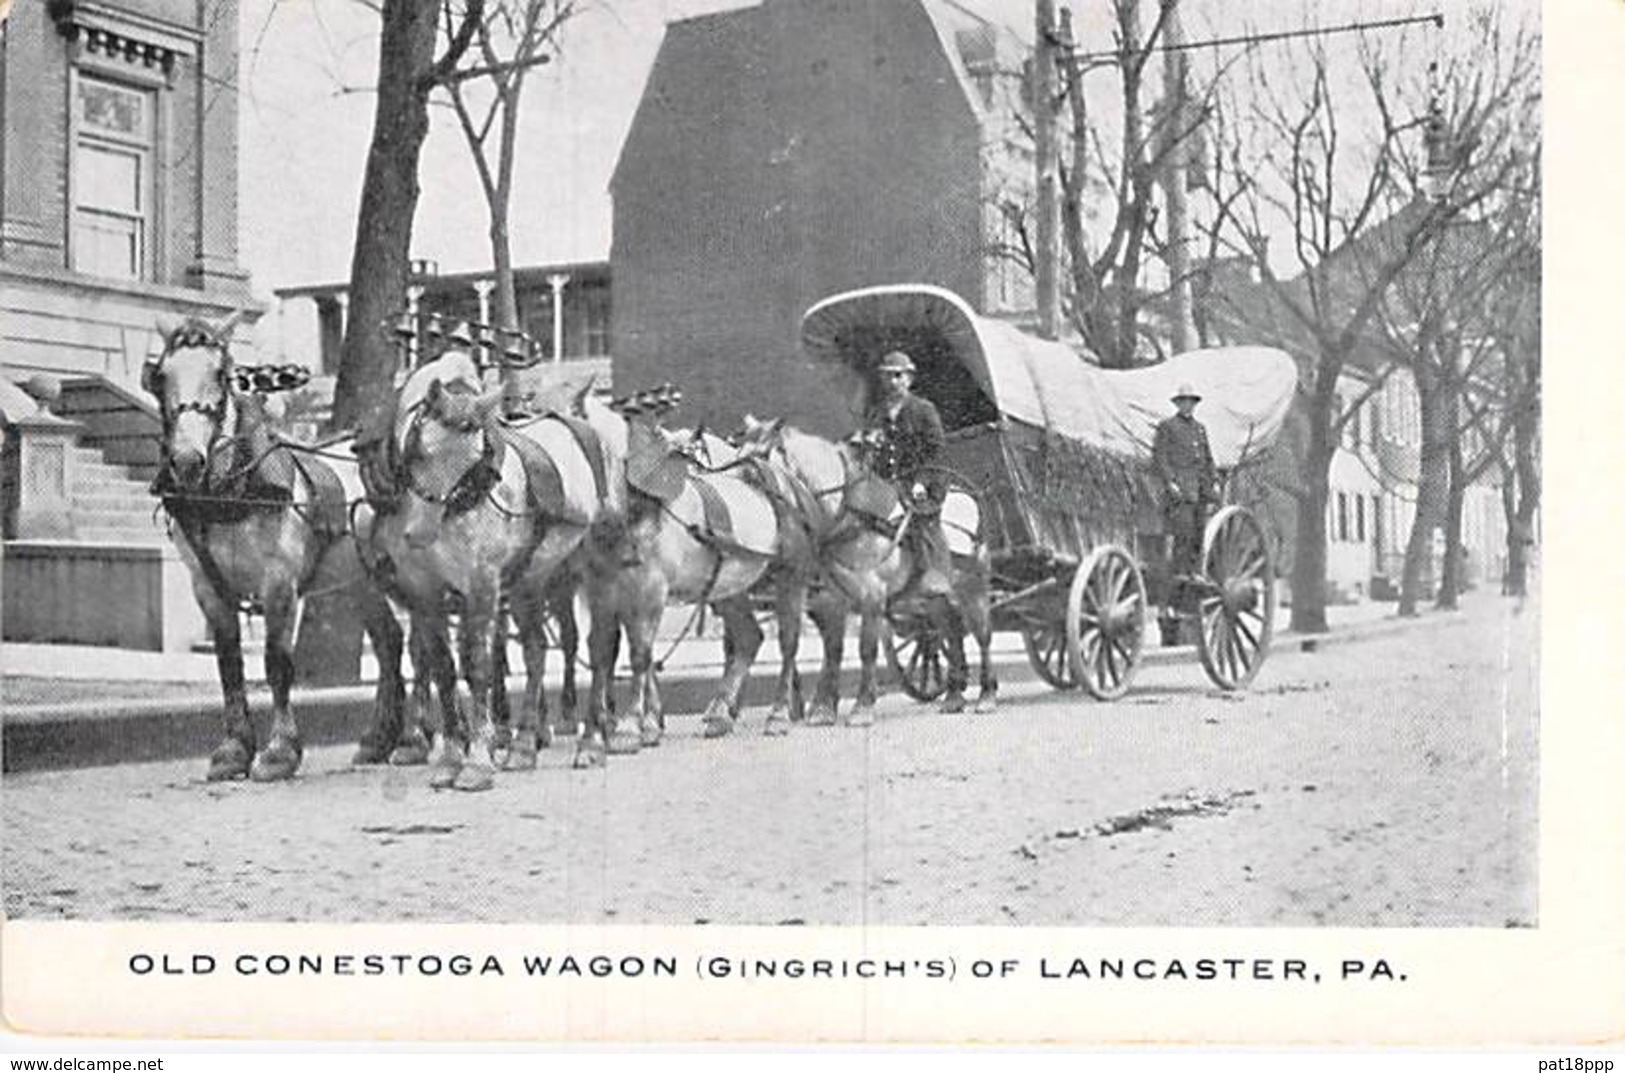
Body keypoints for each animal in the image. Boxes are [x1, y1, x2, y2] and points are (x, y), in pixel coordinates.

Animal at [144, 317, 404, 780]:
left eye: (220, 375)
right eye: (161, 377)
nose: (187, 460)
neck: (231, 492)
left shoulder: (279, 584)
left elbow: (277, 664)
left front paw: (281, 751)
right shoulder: (207, 588)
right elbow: (230, 665)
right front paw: (234, 749)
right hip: (358, 581)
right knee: (390, 640)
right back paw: (381, 739)